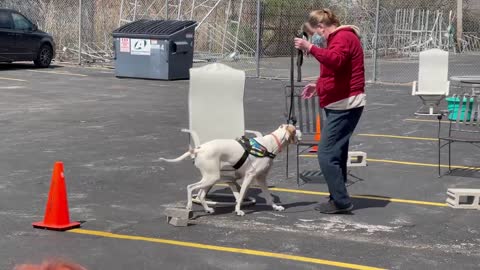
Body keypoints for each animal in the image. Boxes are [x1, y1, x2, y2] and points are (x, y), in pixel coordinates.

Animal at [160, 125, 300, 217]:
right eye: (295, 128)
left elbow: (268, 196)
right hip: (212, 177)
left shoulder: (261, 178)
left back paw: (208, 209)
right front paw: (238, 210)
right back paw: (189, 206)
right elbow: (241, 195)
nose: (301, 130)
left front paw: (276, 207)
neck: (269, 144)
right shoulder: (249, 177)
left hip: (210, 179)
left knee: (200, 194)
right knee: (190, 187)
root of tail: (198, 149)